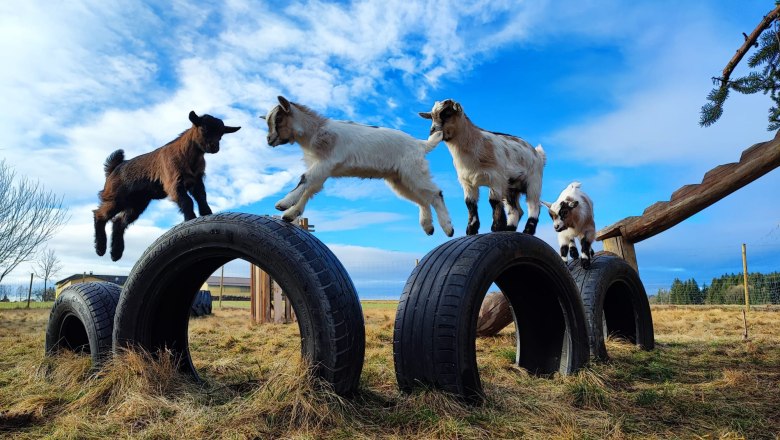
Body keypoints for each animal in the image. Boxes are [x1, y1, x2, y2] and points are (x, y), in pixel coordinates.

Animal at [93, 111, 240, 261]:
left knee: (118, 222)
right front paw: (190, 219)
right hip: (117, 197)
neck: (187, 155)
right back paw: (100, 248)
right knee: (99, 215)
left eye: (221, 134)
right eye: (203, 128)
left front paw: (207, 215)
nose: (214, 147)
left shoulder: (196, 180)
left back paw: (116, 253)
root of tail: (114, 168)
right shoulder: (173, 181)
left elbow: (202, 198)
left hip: (137, 203)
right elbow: (187, 201)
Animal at [260, 95, 453, 237]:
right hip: (399, 179)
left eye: (278, 119)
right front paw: (291, 214)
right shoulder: (323, 169)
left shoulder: (326, 162)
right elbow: (310, 189)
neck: (315, 132)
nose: (269, 140)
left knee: (435, 193)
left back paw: (448, 228)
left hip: (414, 172)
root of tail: (420, 144)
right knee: (422, 200)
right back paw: (428, 227)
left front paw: (283, 204)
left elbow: (304, 179)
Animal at [419, 99, 546, 235]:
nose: (432, 131)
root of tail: (538, 155)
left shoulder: (496, 178)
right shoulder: (467, 182)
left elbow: (493, 201)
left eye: (447, 113)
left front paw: (496, 227)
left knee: (534, 205)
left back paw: (528, 230)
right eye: (431, 116)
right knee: (516, 210)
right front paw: (471, 229)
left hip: (534, 181)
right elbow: (470, 204)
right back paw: (509, 228)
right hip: (511, 188)